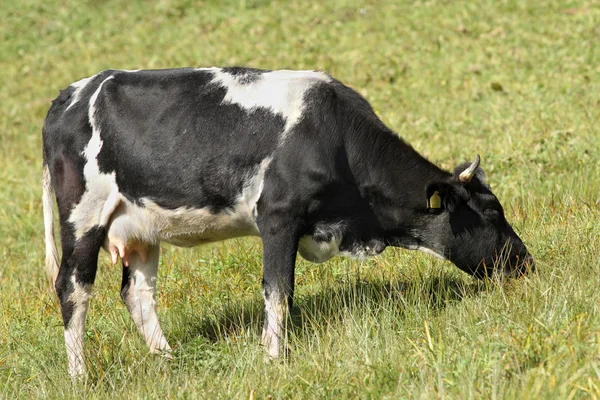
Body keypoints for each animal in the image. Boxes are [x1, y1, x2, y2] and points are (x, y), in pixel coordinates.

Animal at [39, 67, 532, 376]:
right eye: (492, 211)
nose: (525, 262)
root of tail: (70, 94)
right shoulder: (278, 216)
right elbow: (278, 291)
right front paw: (275, 356)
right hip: (82, 215)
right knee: (73, 288)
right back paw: (81, 375)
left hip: (139, 227)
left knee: (138, 293)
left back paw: (168, 360)